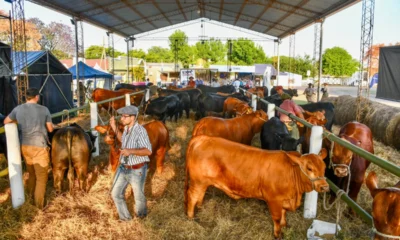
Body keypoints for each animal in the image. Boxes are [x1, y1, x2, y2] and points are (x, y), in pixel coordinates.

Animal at [185, 136, 328, 239]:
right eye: (309, 168)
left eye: (324, 167)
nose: (325, 187)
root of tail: (202, 138)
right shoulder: (274, 200)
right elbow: (277, 217)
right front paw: (277, 234)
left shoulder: (284, 199)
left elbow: (283, 214)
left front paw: (285, 225)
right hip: (198, 181)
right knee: (192, 195)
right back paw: (191, 217)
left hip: (203, 182)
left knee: (200, 194)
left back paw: (200, 207)